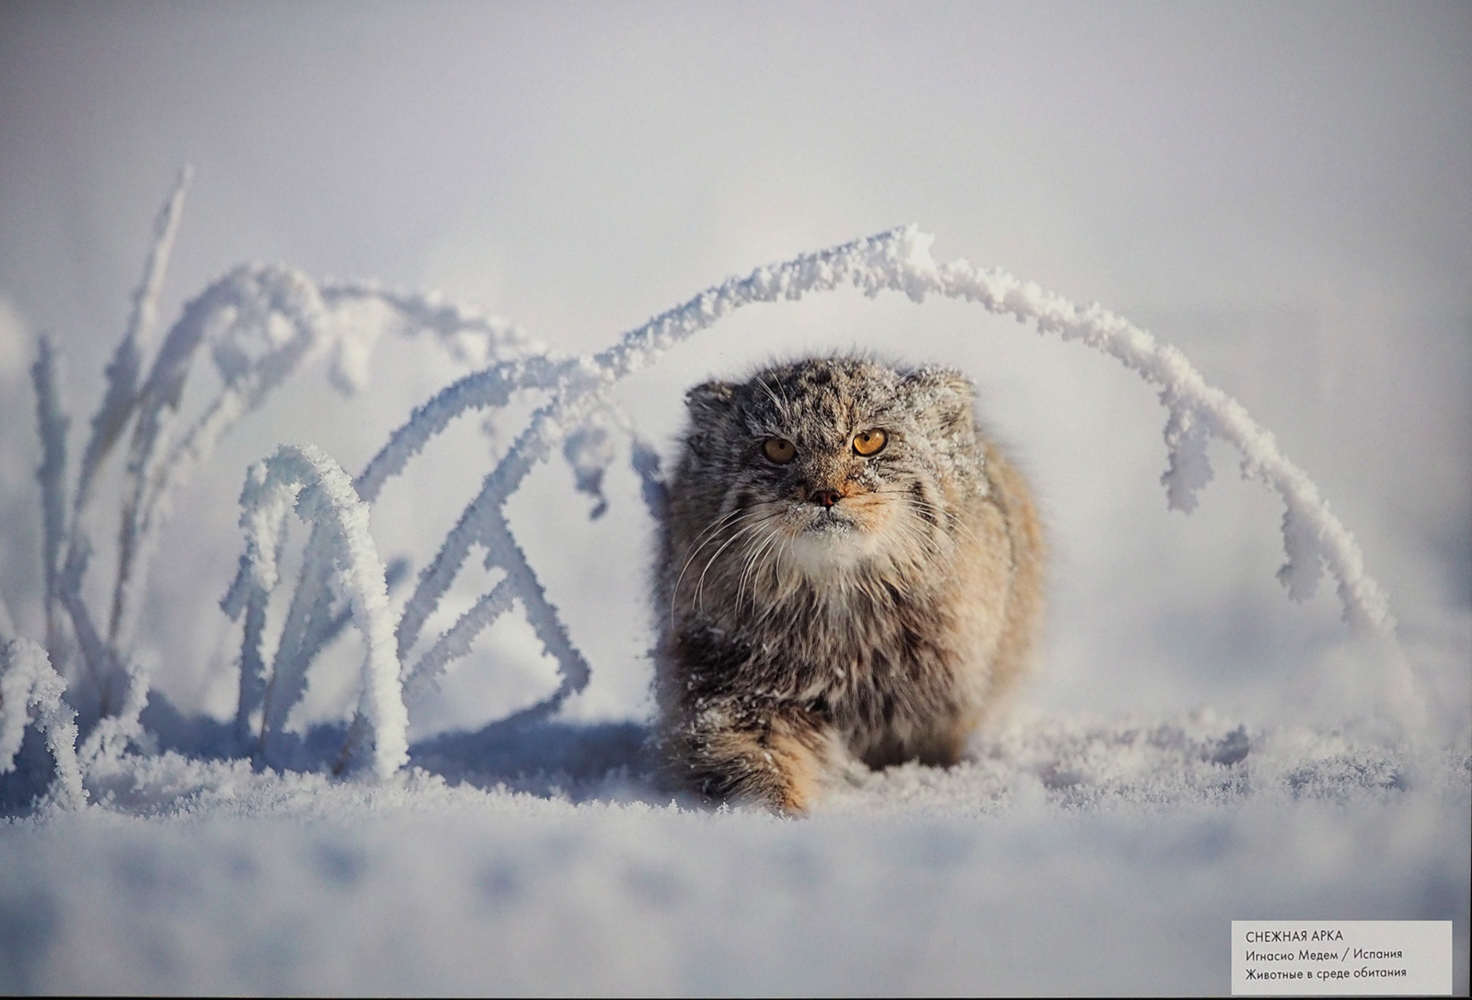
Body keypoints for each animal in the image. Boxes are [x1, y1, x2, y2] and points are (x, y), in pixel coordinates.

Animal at [656, 356, 1048, 807]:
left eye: (869, 440)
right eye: (777, 449)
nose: (826, 493)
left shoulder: (935, 707)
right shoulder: (731, 687)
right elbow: (753, 761)